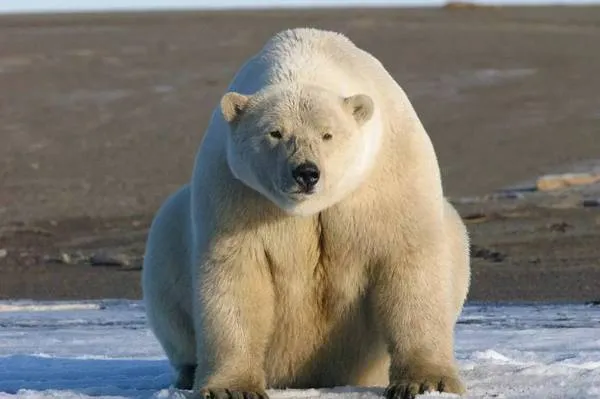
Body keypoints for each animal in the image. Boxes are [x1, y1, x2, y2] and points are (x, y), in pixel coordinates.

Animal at [143, 28, 472, 399]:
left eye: (327, 134)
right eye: (275, 132)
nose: (306, 172)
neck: (306, 59)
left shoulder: (390, 175)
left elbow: (408, 261)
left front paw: (428, 382)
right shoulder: (236, 190)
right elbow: (237, 275)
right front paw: (232, 388)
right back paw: (188, 373)